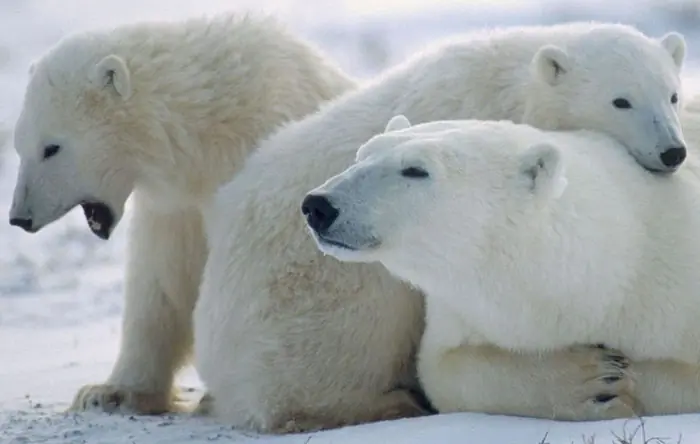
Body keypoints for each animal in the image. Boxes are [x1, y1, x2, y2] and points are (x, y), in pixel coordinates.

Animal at [7, 13, 355, 414]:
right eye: (18, 146)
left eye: (51, 148)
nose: (19, 217)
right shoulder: (175, 207)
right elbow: (160, 283)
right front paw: (108, 392)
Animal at [303, 114, 700, 420]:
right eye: (361, 155)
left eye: (415, 169)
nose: (318, 205)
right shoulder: (465, 311)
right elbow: (444, 369)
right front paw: (592, 383)